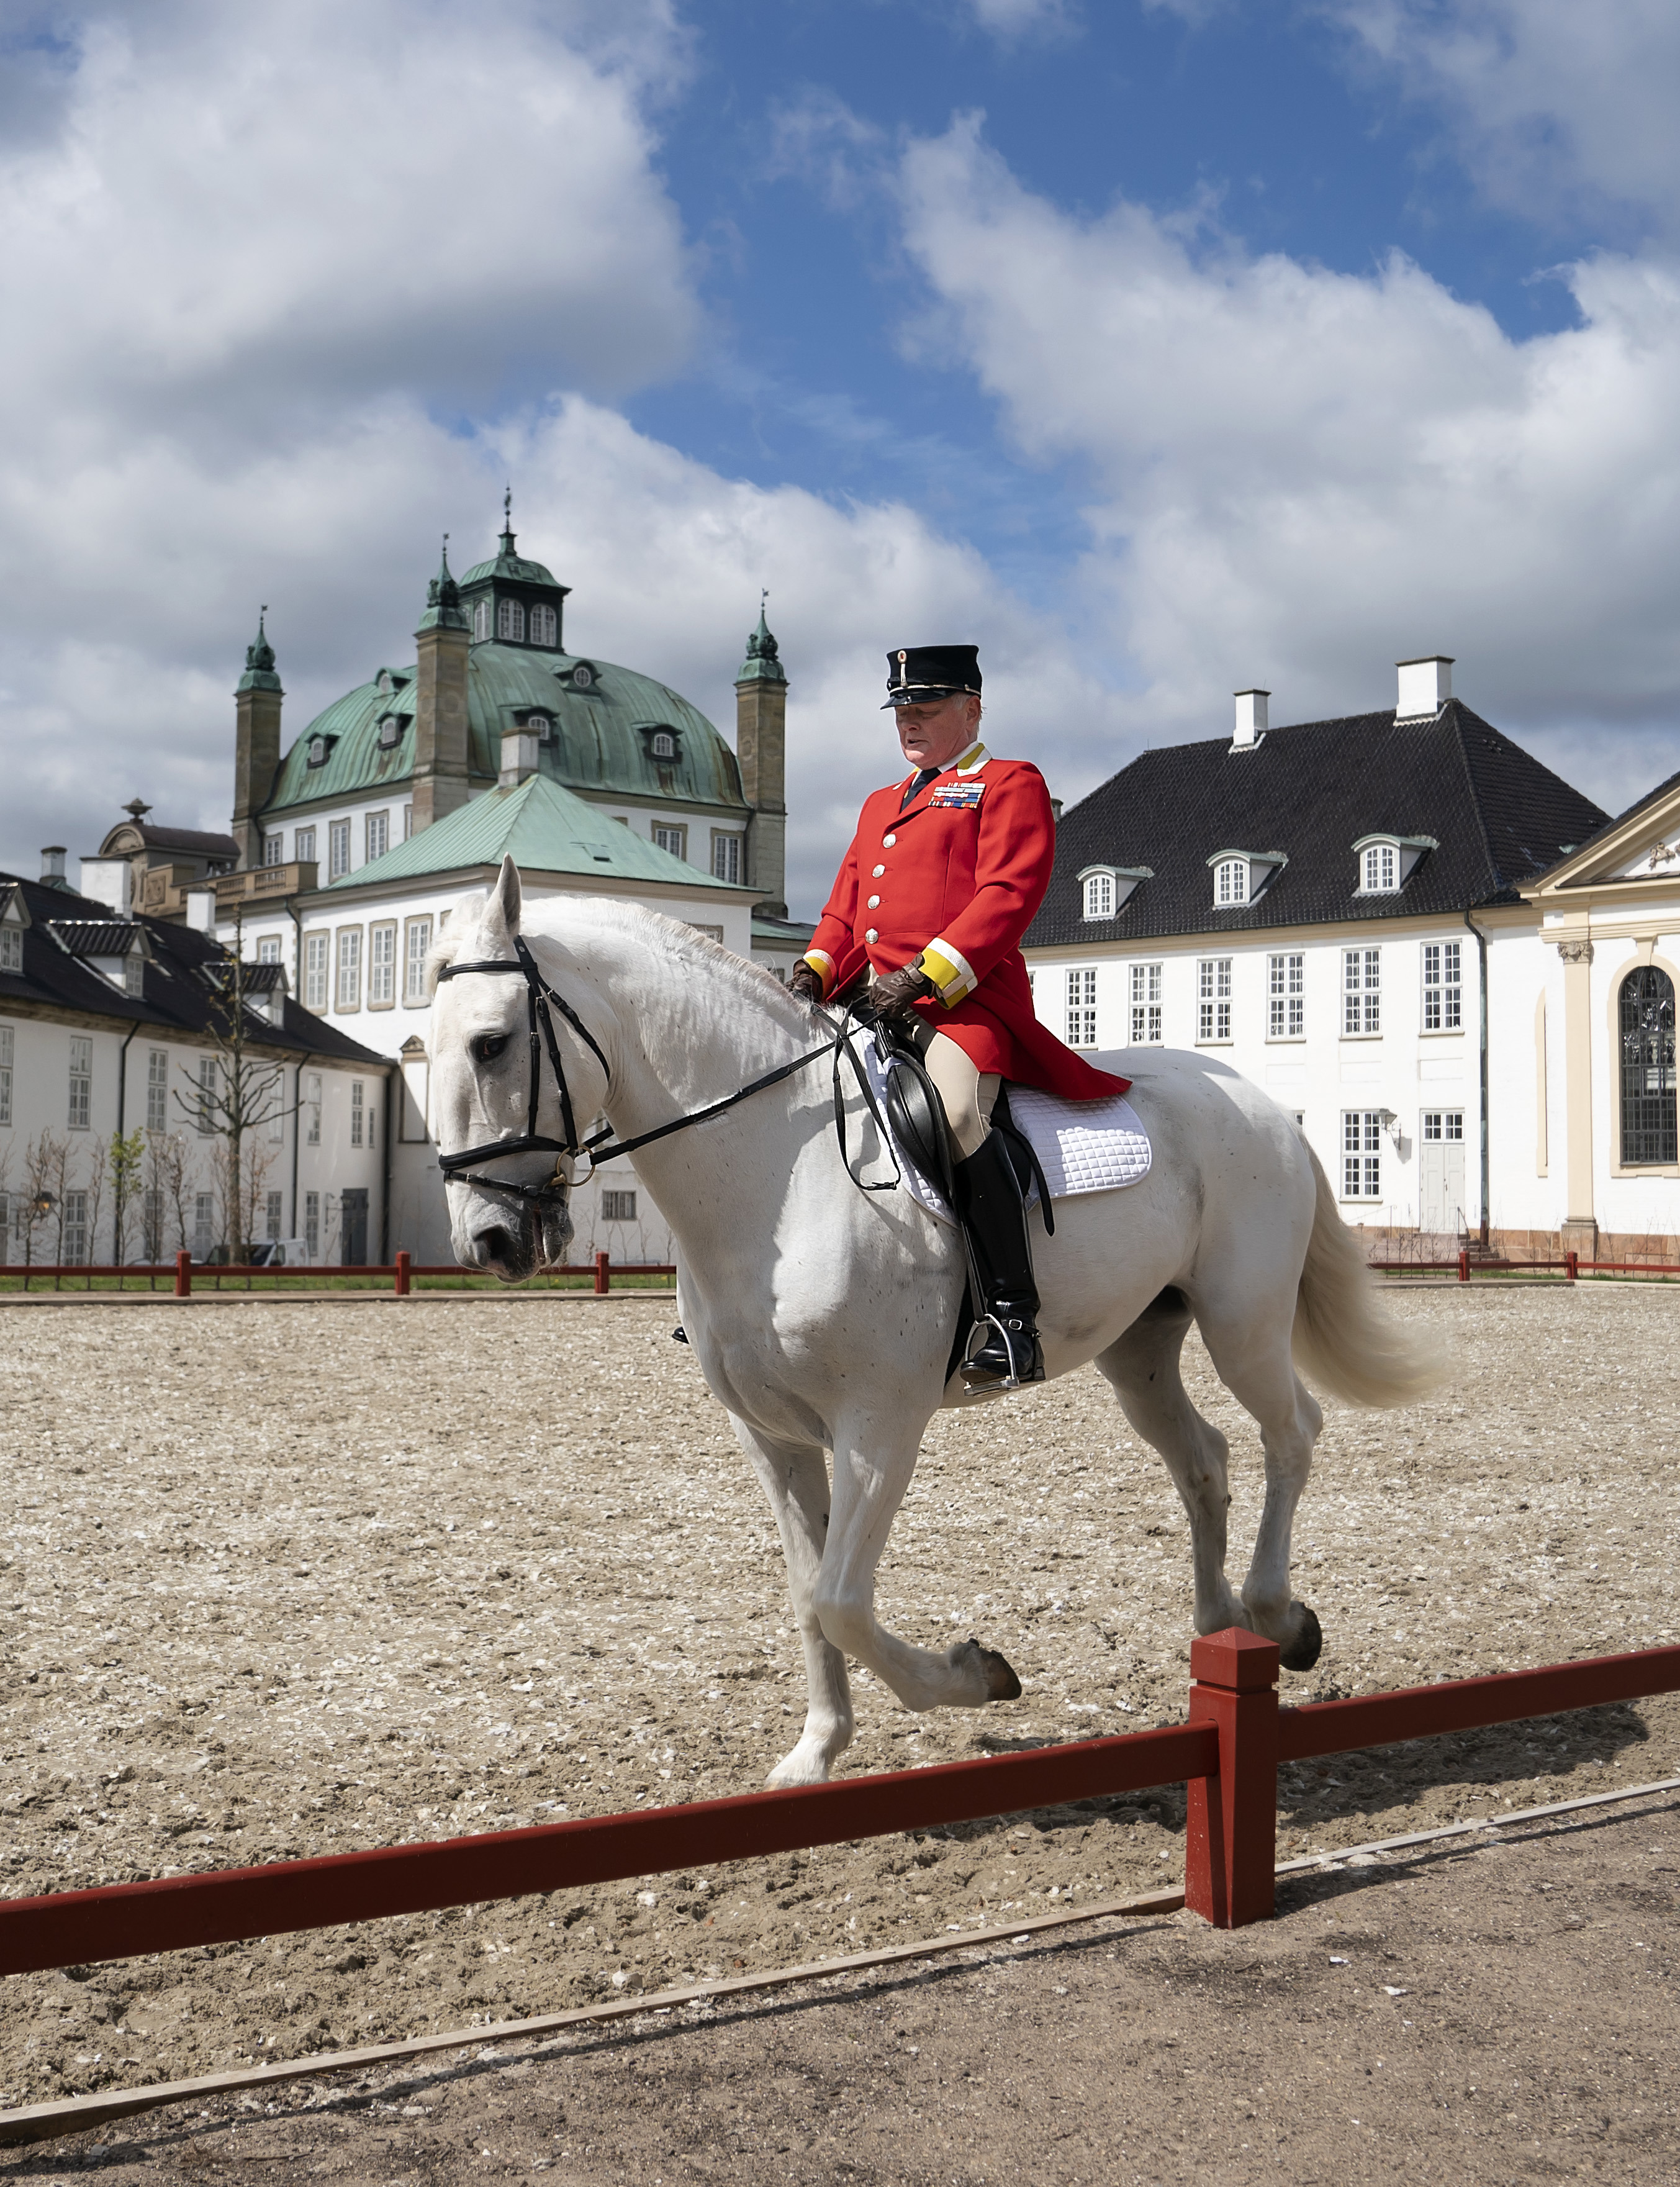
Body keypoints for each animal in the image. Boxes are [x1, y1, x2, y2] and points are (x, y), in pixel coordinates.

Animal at [428, 861, 1435, 1784]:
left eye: (490, 1044)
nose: (488, 1239)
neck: (774, 1170)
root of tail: (1261, 1102)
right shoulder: (772, 1436)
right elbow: (808, 1591)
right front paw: (816, 1752)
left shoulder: (879, 1425)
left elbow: (842, 1598)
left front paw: (975, 1674)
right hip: (1140, 1350)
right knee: (1204, 1460)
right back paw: (1217, 1626)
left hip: (1243, 1323)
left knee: (1291, 1432)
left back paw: (1277, 1615)